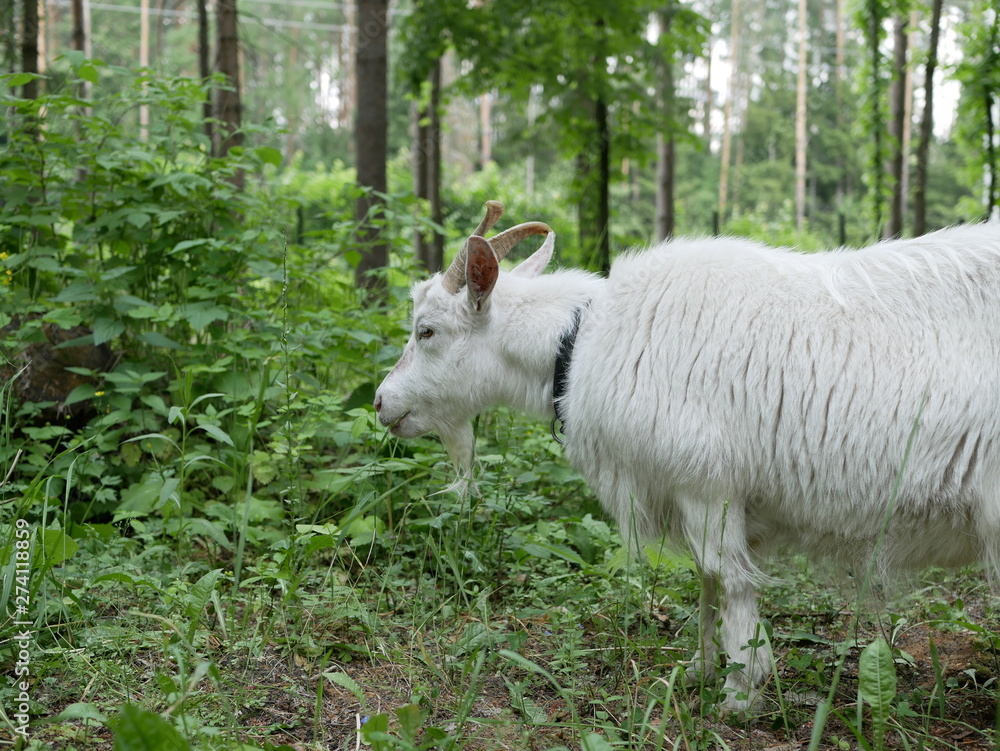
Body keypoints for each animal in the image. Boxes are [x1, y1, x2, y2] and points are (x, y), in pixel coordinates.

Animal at [374, 201, 1000, 710]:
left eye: (426, 331)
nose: (382, 402)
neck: (582, 343)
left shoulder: (707, 484)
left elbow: (730, 580)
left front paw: (740, 691)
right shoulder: (697, 491)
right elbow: (706, 582)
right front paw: (699, 669)